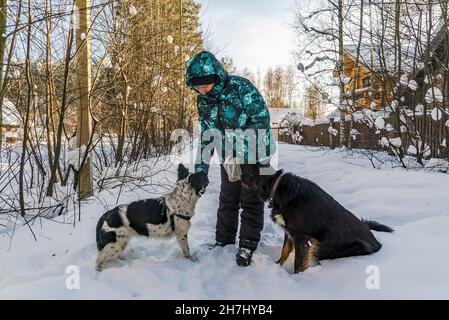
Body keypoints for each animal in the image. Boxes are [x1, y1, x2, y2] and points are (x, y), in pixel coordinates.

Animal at [240, 166, 390, 274]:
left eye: (248, 171)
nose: (239, 176)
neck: (278, 189)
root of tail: (377, 243)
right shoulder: (289, 233)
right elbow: (284, 252)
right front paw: (277, 267)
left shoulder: (302, 238)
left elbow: (298, 263)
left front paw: (298, 278)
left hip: (329, 247)